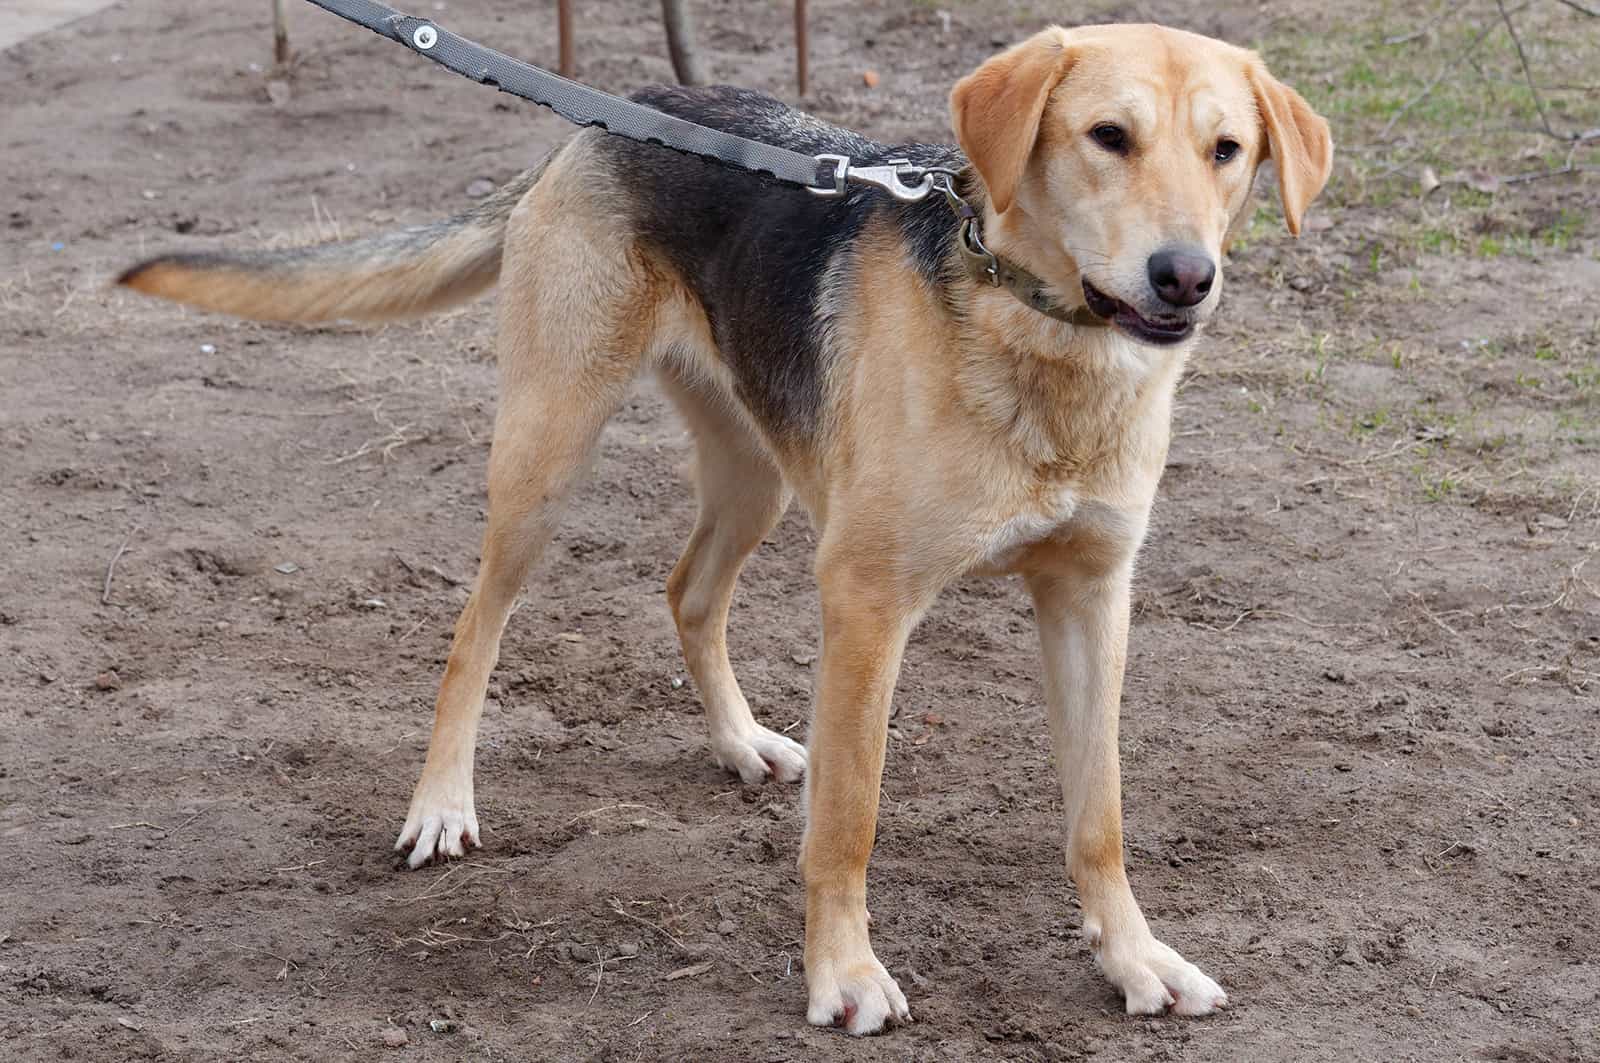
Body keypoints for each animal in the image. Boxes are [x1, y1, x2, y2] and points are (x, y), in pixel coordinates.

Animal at [118, 22, 1331, 1037]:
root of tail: (623, 108)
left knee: (687, 592)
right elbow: (849, 820)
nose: (1185, 277)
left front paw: (1133, 958)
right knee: (475, 630)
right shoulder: (866, 604)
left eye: (1227, 150)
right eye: (1106, 137)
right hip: (547, 456)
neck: (1038, 337)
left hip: (758, 476)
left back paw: (739, 741)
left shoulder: (1091, 597)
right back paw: (442, 805)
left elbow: (1099, 815)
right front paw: (843, 975)